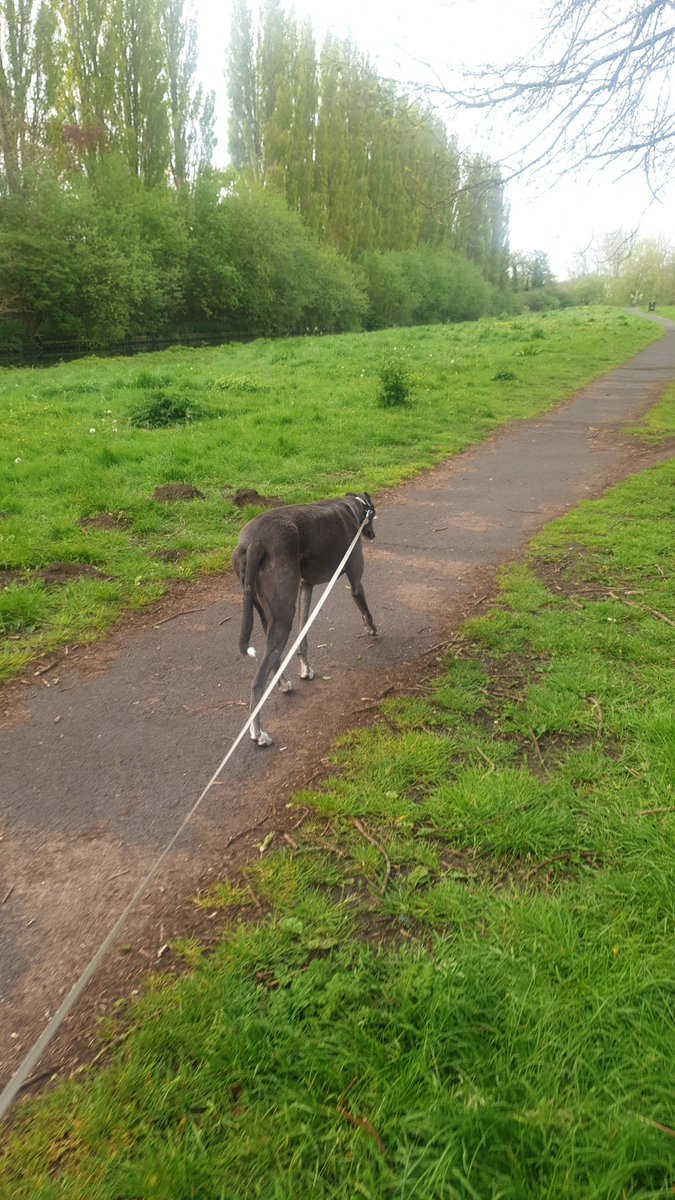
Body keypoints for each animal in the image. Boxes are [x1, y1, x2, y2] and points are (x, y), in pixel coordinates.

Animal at [234, 492, 374, 744]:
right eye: (374, 514)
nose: (373, 535)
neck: (353, 506)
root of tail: (255, 542)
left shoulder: (306, 587)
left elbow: (303, 637)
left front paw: (306, 669)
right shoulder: (355, 580)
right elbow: (364, 607)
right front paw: (372, 628)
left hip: (269, 614)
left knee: (273, 655)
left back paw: (283, 684)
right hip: (282, 616)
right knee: (257, 682)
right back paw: (258, 733)